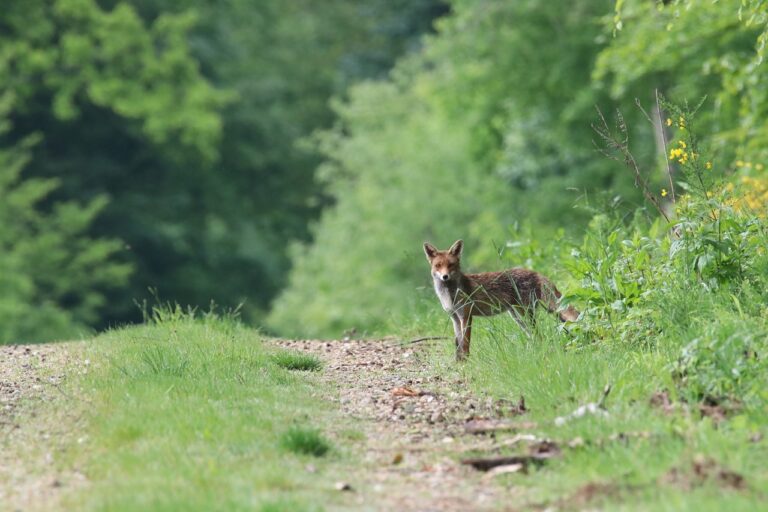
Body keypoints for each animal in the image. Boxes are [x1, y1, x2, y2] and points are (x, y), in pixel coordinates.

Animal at [423, 239, 579, 360]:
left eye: (451, 265)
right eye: (438, 266)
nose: (445, 277)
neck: (450, 295)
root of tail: (535, 272)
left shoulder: (466, 316)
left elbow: (465, 344)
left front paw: (466, 362)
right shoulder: (455, 318)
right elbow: (458, 344)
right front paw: (458, 361)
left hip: (524, 314)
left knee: (539, 335)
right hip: (518, 317)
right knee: (535, 335)